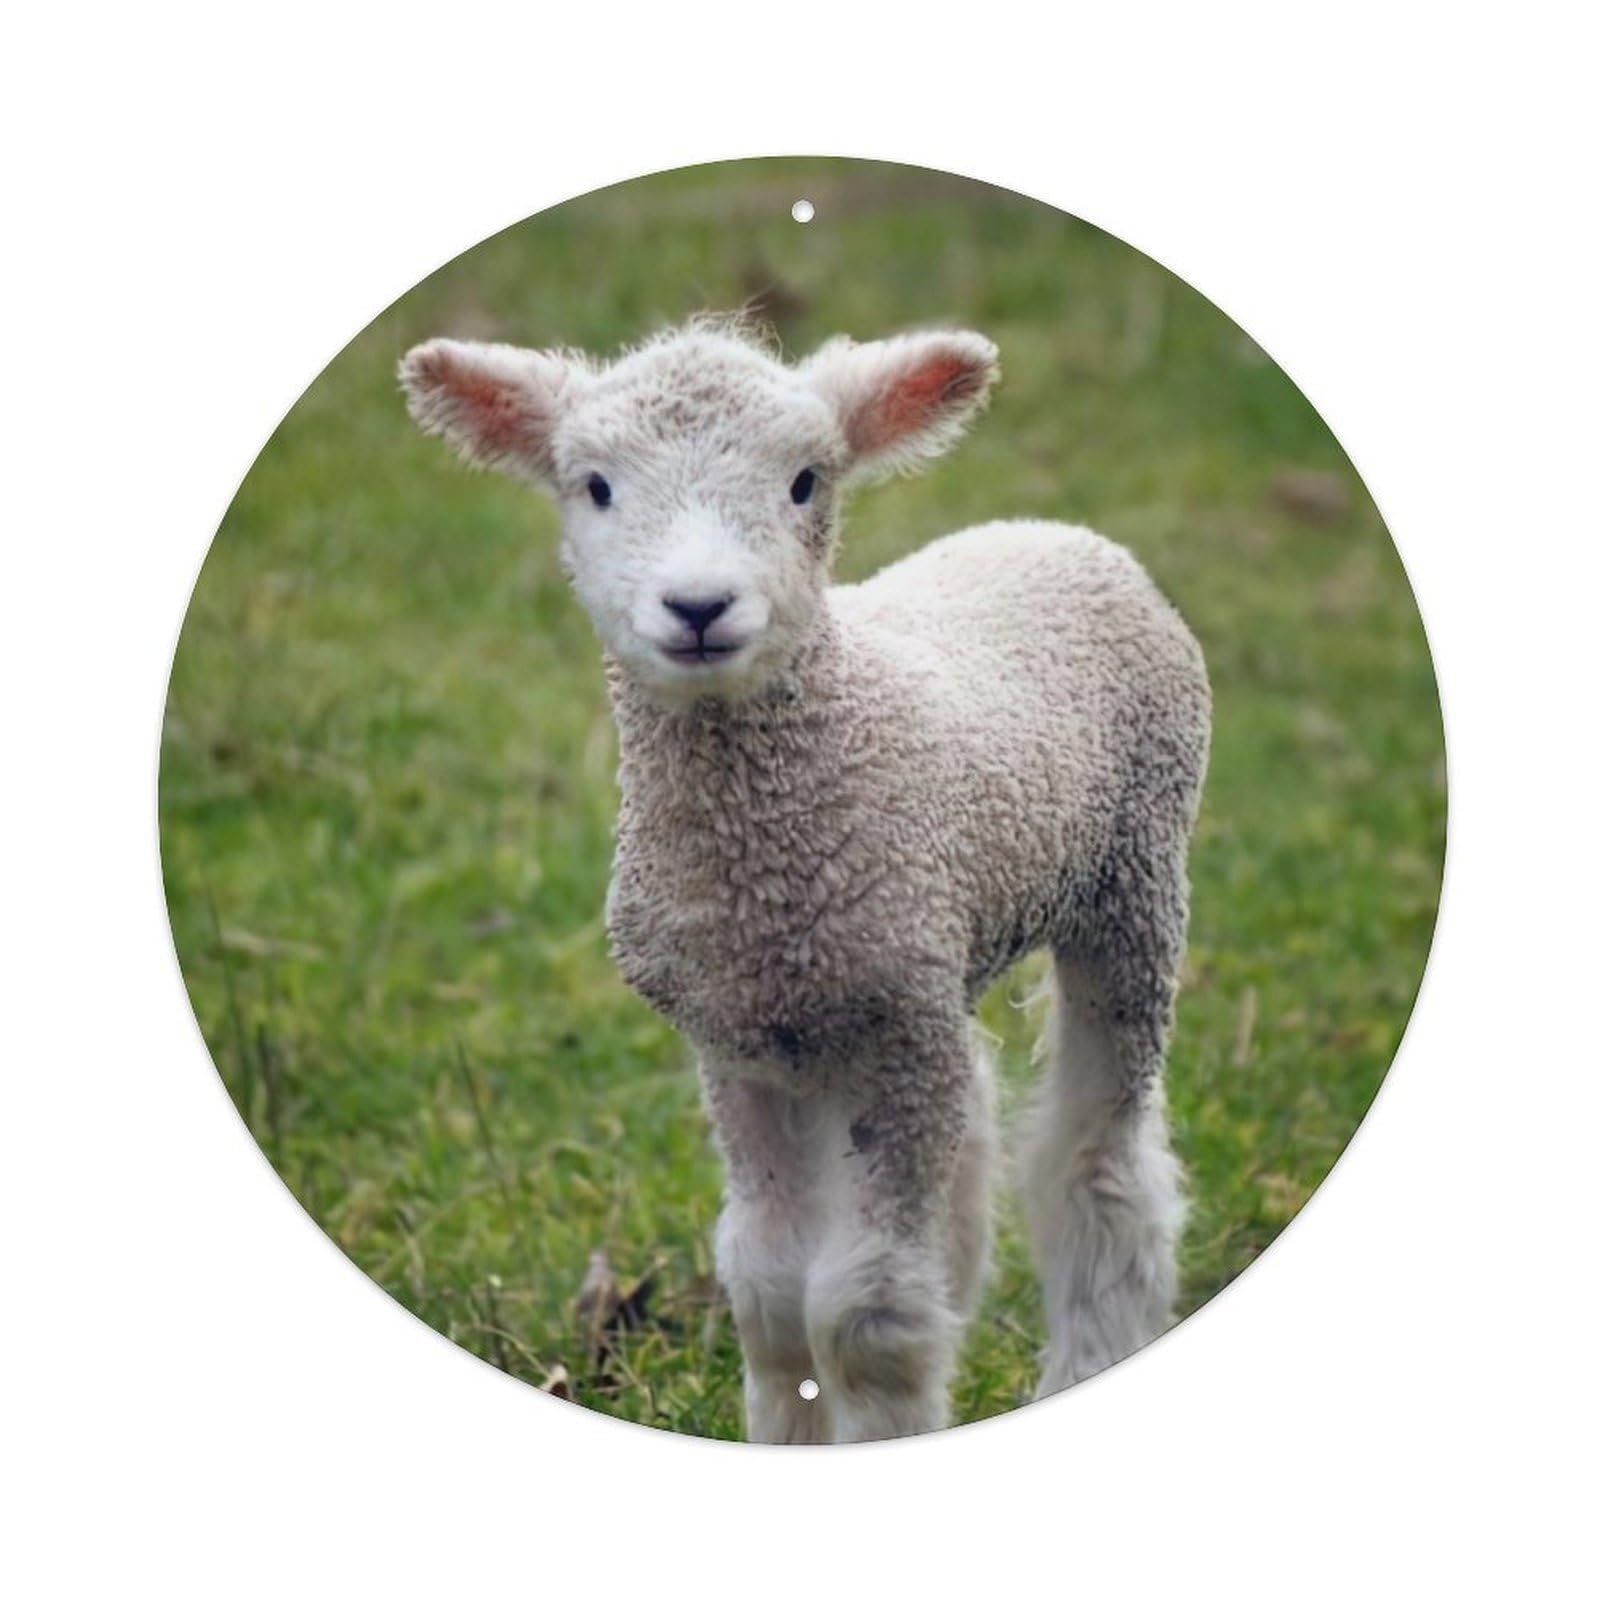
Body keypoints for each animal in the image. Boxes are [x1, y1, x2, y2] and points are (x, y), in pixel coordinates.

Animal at [400, 318, 1211, 1442]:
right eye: (595, 487)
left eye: (802, 482)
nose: (699, 606)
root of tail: (1056, 534)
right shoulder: (739, 1039)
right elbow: (773, 1295)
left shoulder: (891, 1028)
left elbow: (867, 1316)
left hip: (1134, 874)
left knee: (1097, 1168)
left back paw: (1089, 1354)